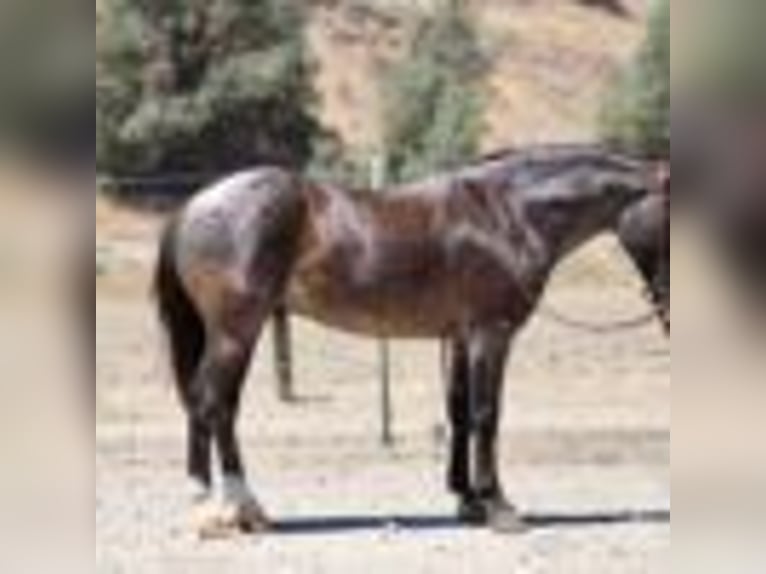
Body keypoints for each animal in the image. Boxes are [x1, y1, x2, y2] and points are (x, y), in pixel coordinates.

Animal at [153, 143, 667, 536]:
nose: (667, 311)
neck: (508, 214)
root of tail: (194, 205)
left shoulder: (460, 337)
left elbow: (458, 412)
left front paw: (468, 502)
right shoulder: (491, 333)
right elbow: (486, 415)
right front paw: (499, 506)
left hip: (236, 333)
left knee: (217, 406)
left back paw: (239, 509)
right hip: (235, 331)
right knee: (211, 402)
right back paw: (217, 506)